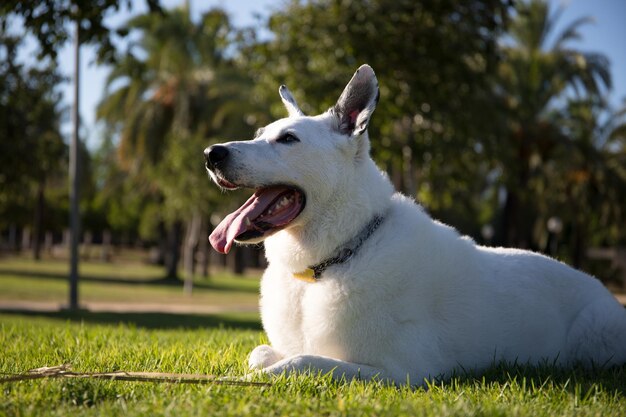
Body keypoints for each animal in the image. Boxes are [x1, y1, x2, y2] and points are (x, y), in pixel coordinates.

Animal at [202, 62, 620, 384]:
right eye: (259, 135)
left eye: (288, 139)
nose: (211, 153)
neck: (341, 253)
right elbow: (260, 353)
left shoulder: (400, 371)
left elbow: (298, 362)